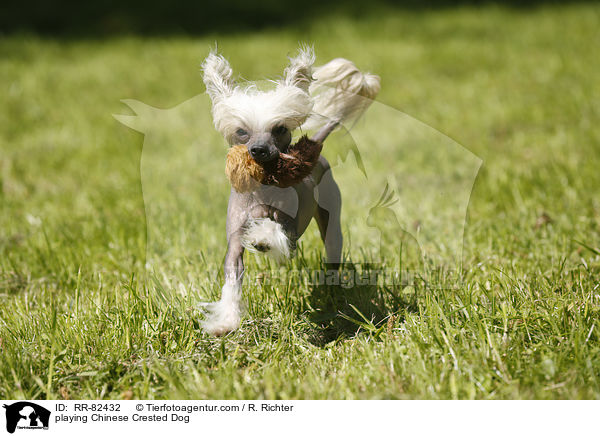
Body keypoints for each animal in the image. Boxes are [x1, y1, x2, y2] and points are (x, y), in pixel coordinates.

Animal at [202, 46, 380, 334]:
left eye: (280, 129)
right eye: (242, 131)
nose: (258, 150)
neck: (263, 190)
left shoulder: (291, 234)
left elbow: (276, 231)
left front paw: (262, 238)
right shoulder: (235, 243)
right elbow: (232, 279)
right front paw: (226, 322)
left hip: (332, 228)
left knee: (333, 254)